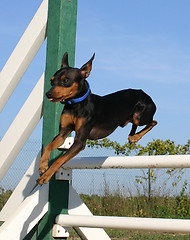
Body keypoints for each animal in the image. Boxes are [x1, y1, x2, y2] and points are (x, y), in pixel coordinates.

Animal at [36, 52, 156, 184]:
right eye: (51, 81)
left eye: (66, 80)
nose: (48, 94)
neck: (75, 105)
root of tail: (146, 95)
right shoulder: (63, 134)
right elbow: (48, 147)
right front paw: (43, 166)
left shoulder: (80, 142)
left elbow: (60, 159)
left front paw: (46, 176)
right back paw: (132, 136)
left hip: (139, 117)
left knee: (153, 122)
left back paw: (135, 137)